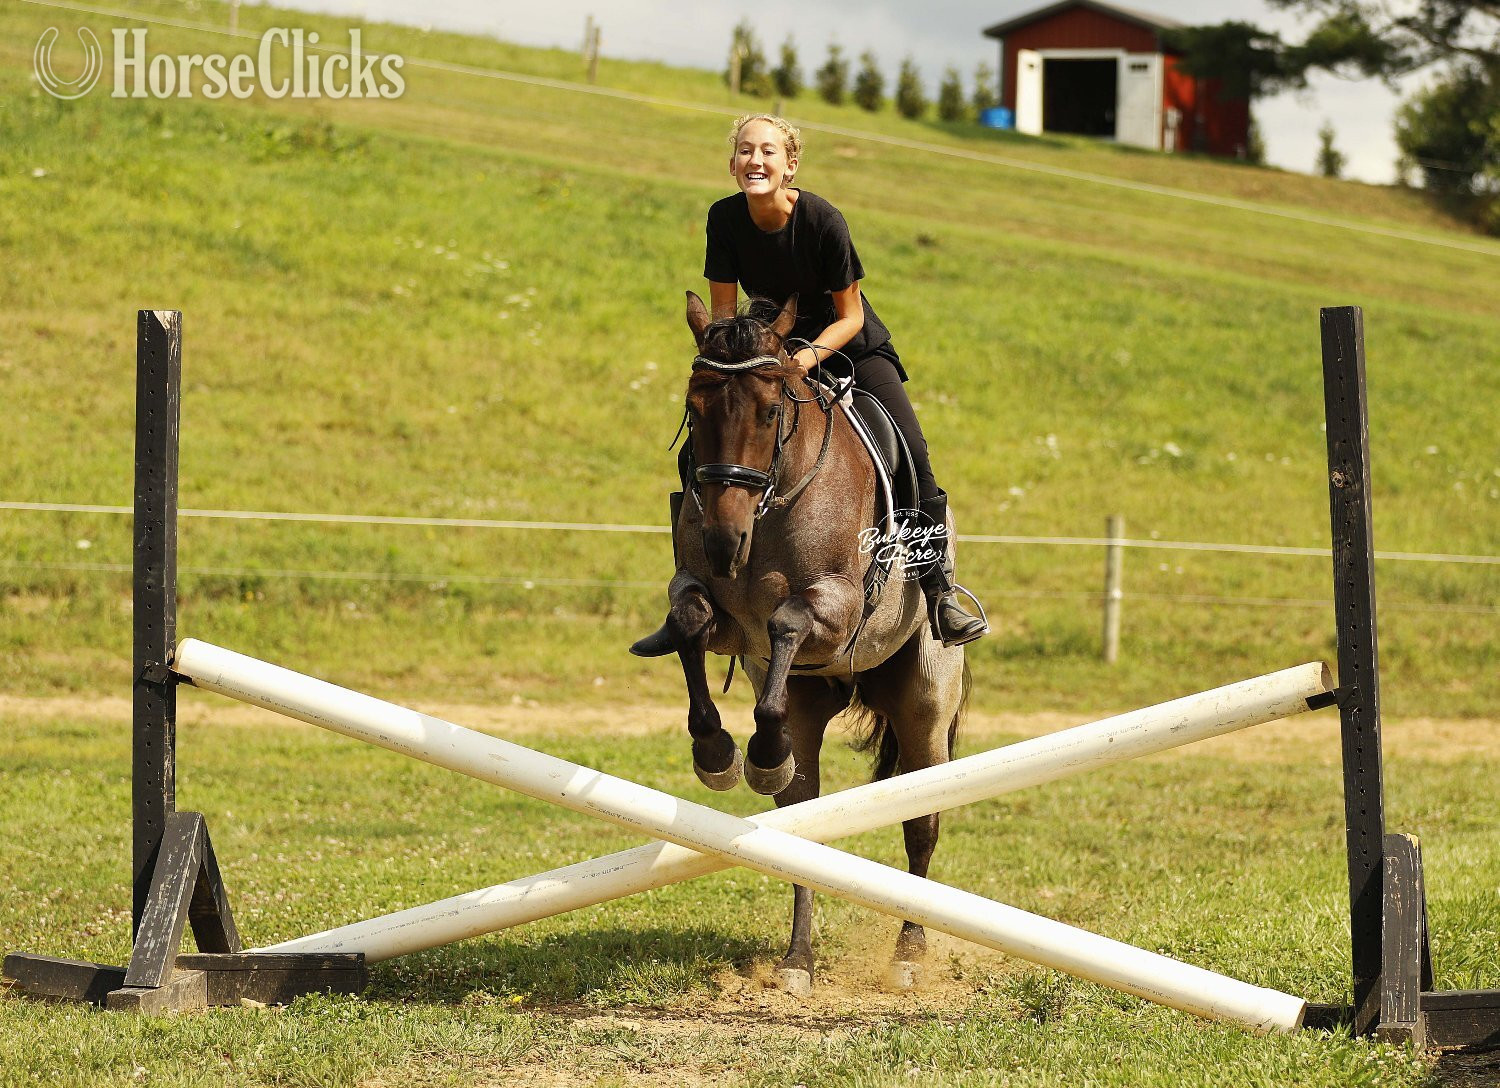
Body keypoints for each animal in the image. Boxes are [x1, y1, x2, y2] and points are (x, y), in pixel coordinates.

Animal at [650, 290, 970, 993]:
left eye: (771, 412)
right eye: (694, 408)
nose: (724, 541)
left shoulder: (838, 606)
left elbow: (788, 622)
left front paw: (757, 752)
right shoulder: (719, 615)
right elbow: (690, 622)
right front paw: (718, 753)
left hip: (925, 705)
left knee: (921, 821)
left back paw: (909, 953)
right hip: (812, 700)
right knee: (801, 819)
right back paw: (799, 959)